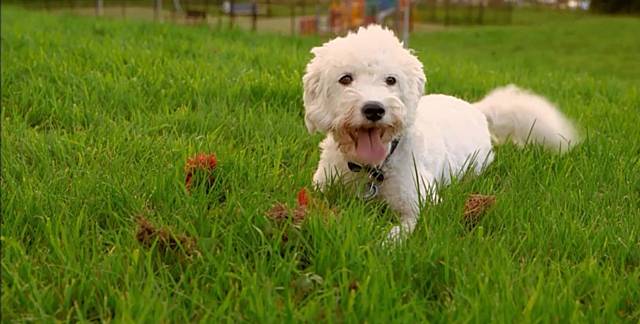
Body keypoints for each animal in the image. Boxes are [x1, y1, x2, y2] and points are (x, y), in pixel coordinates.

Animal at [302, 25, 576, 240]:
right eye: (345, 78)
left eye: (391, 80)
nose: (374, 109)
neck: (371, 168)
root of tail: (475, 108)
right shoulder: (321, 189)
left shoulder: (418, 205)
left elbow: (397, 234)